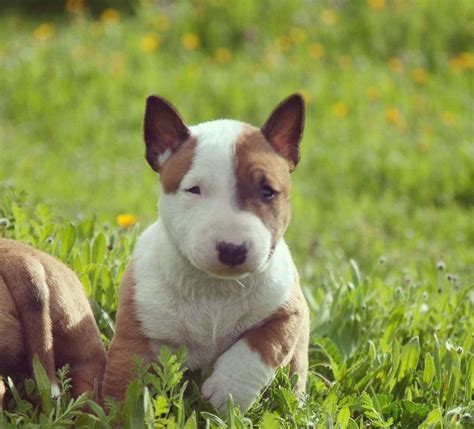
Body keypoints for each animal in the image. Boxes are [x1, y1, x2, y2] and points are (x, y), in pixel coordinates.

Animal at [103, 94, 312, 412]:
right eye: (194, 190)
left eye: (267, 191)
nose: (232, 249)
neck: (214, 288)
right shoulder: (137, 330)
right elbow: (124, 379)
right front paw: (112, 413)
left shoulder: (288, 311)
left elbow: (262, 345)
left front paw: (229, 390)